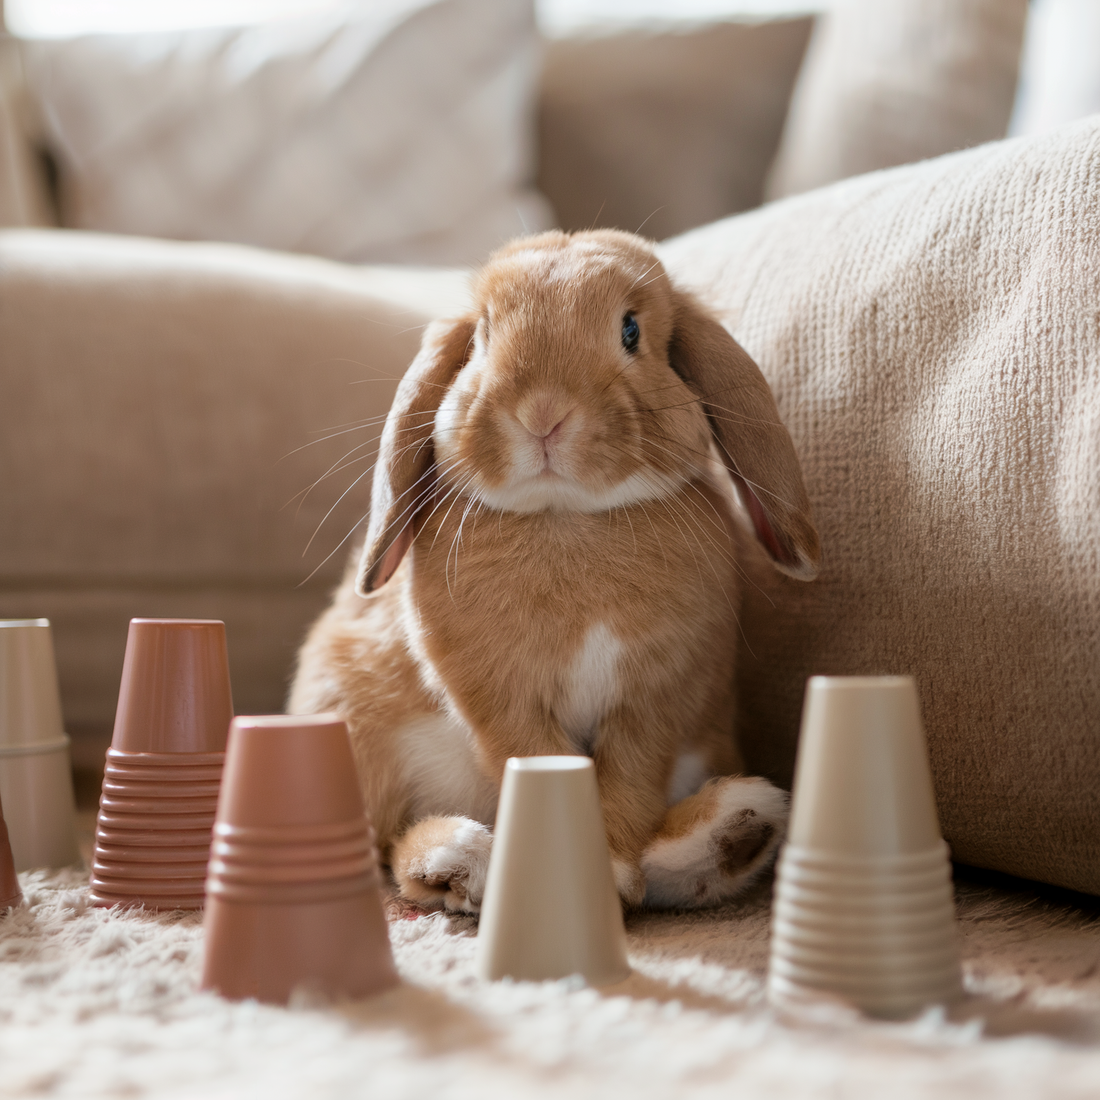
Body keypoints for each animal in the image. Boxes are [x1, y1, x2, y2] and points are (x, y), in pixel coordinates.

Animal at [288, 229, 822, 910]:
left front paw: (614, 873)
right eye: (481, 336)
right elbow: (538, 760)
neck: (564, 515)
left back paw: (735, 833)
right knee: (391, 851)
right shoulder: (496, 694)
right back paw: (457, 862)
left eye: (630, 330)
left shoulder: (659, 695)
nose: (543, 412)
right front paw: (587, 877)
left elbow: (630, 778)